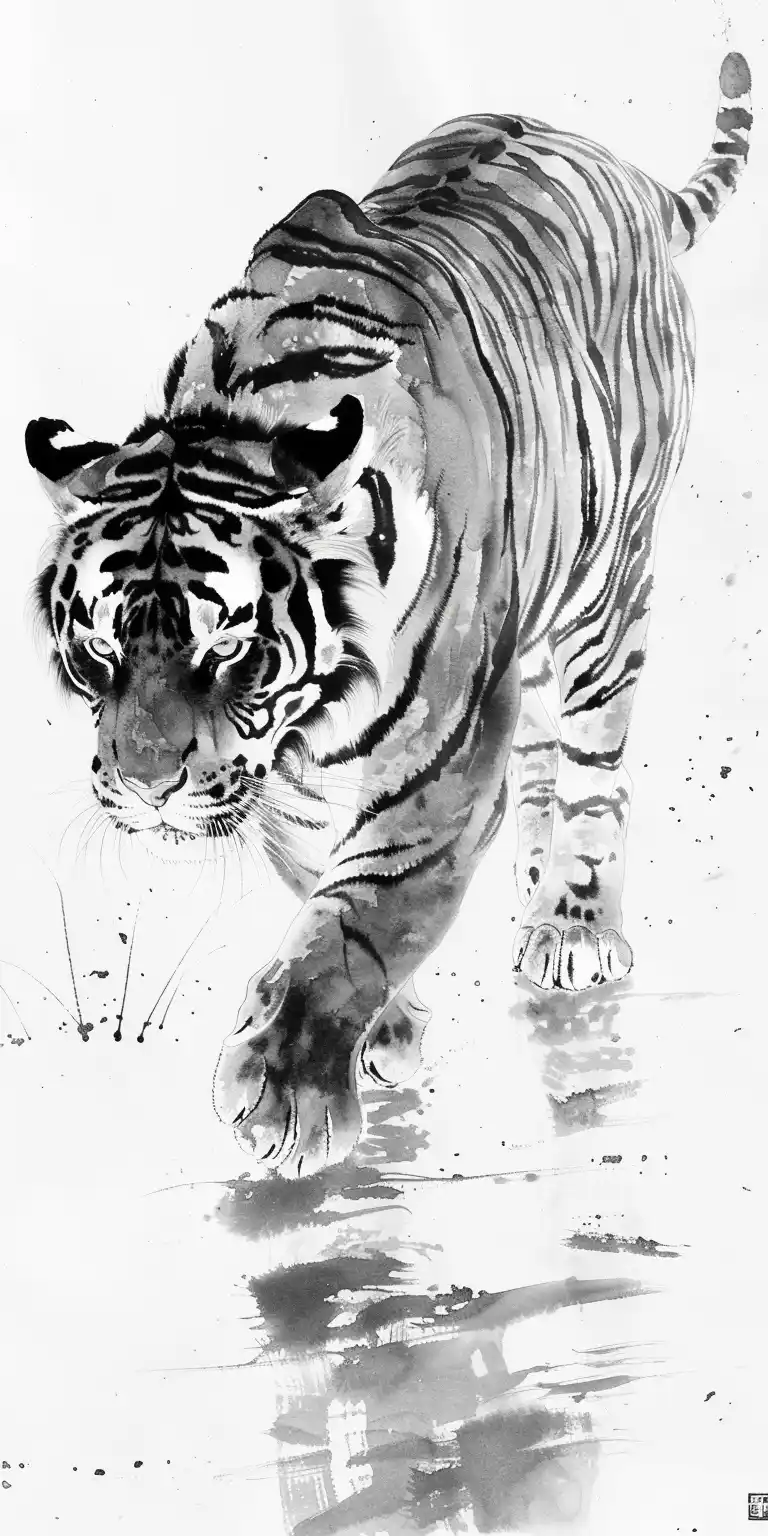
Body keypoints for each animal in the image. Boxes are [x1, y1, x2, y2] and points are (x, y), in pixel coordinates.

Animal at [27, 53, 751, 1177]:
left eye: (228, 647)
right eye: (97, 650)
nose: (145, 789)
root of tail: (624, 171)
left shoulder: (438, 762)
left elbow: (366, 913)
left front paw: (287, 1090)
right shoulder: (290, 786)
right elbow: (323, 888)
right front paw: (386, 1034)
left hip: (604, 593)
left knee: (593, 775)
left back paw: (573, 924)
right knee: (538, 767)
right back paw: (530, 891)